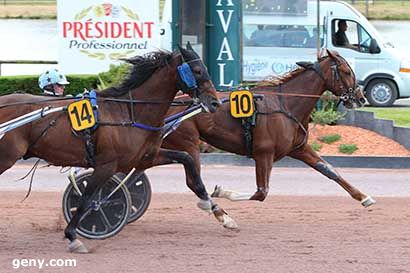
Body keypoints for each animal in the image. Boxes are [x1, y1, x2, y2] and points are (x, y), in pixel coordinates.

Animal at [163, 49, 374, 212]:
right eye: (346, 71)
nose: (361, 98)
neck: (286, 104)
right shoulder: (264, 153)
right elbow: (261, 193)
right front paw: (222, 191)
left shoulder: (299, 148)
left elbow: (330, 170)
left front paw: (364, 197)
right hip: (188, 142)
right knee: (193, 178)